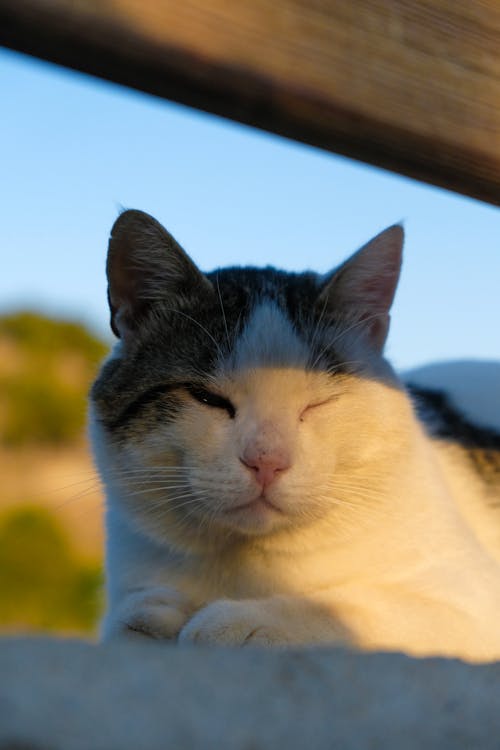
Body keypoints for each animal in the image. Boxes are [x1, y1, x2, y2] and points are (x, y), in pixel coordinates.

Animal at [90, 209, 500, 660]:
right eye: (208, 398)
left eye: (318, 403)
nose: (266, 460)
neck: (249, 569)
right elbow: (125, 617)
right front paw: (151, 615)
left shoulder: (471, 603)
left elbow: (352, 609)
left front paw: (243, 621)